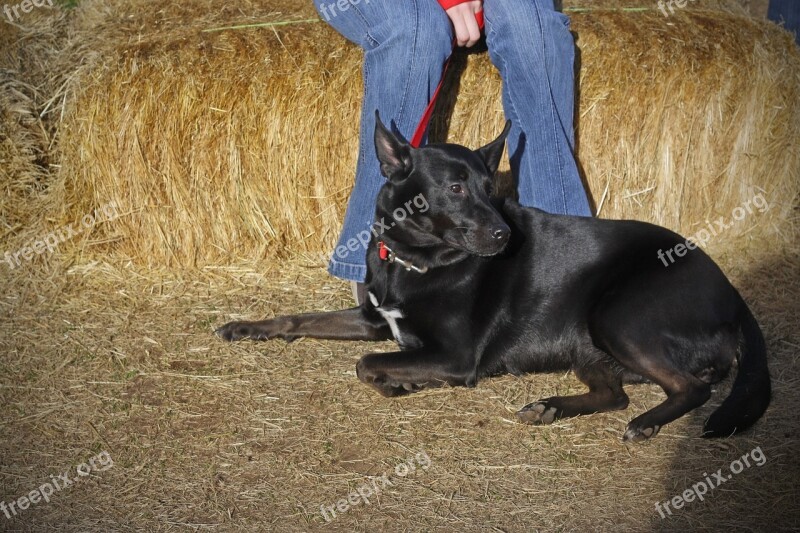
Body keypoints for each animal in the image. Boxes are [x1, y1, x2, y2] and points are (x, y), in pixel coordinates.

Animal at [216, 115, 772, 440]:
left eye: (491, 185)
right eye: (456, 187)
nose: (506, 235)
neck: (413, 260)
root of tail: (732, 292)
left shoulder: (454, 356)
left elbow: (365, 363)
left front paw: (399, 383)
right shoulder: (374, 319)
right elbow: (300, 319)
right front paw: (245, 328)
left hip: (616, 316)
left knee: (689, 389)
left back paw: (646, 423)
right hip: (588, 343)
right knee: (615, 394)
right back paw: (550, 407)